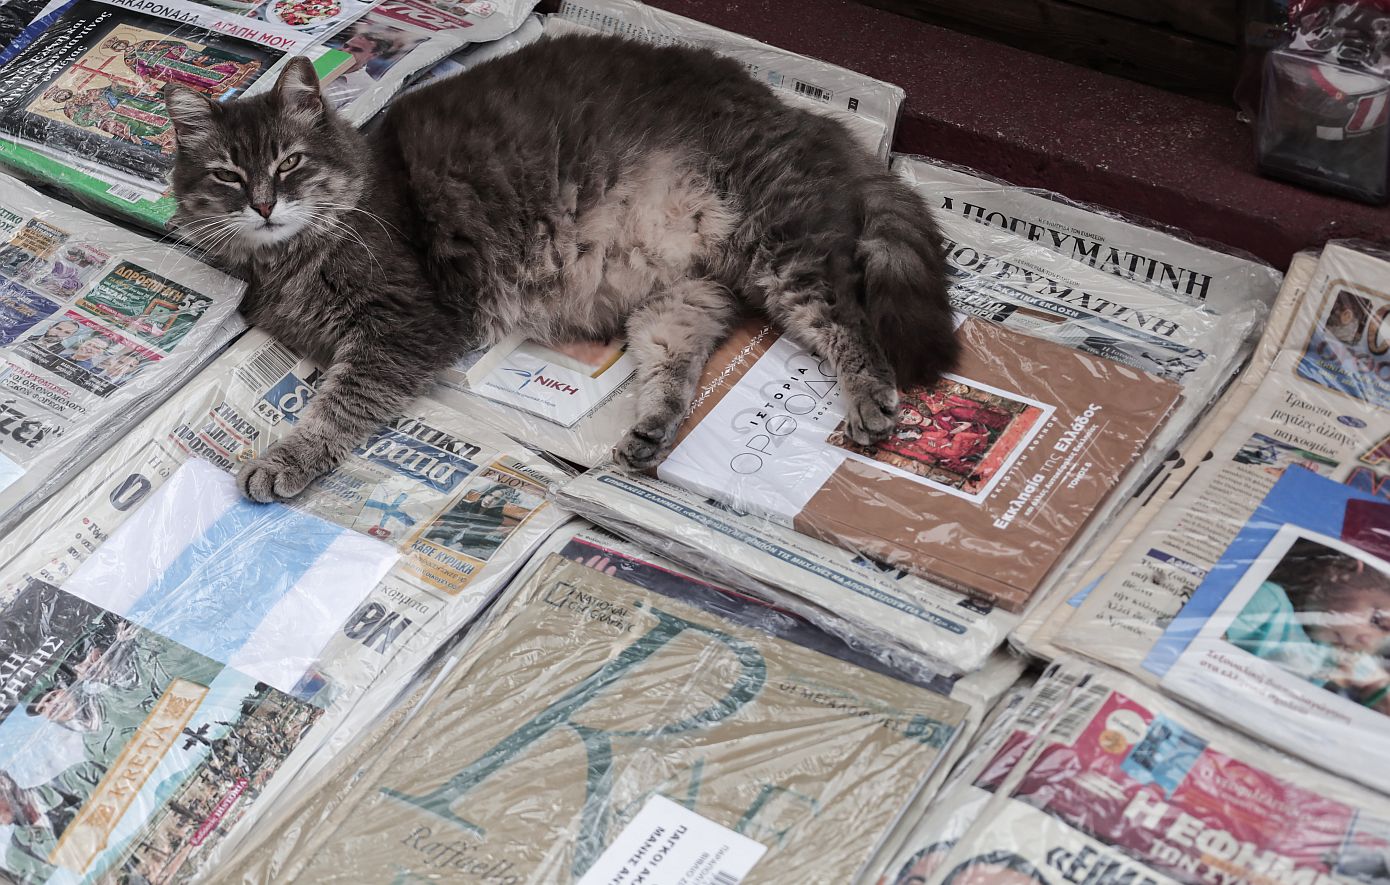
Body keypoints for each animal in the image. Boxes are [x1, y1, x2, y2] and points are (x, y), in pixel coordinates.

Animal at [162, 36, 956, 502]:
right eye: (229, 175)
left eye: (290, 164)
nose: (265, 204)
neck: (287, 260)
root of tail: (792, 113)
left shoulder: (402, 325)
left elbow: (337, 405)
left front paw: (285, 459)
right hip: (679, 296)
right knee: (677, 363)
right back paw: (649, 432)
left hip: (776, 249)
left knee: (848, 321)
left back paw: (870, 400)